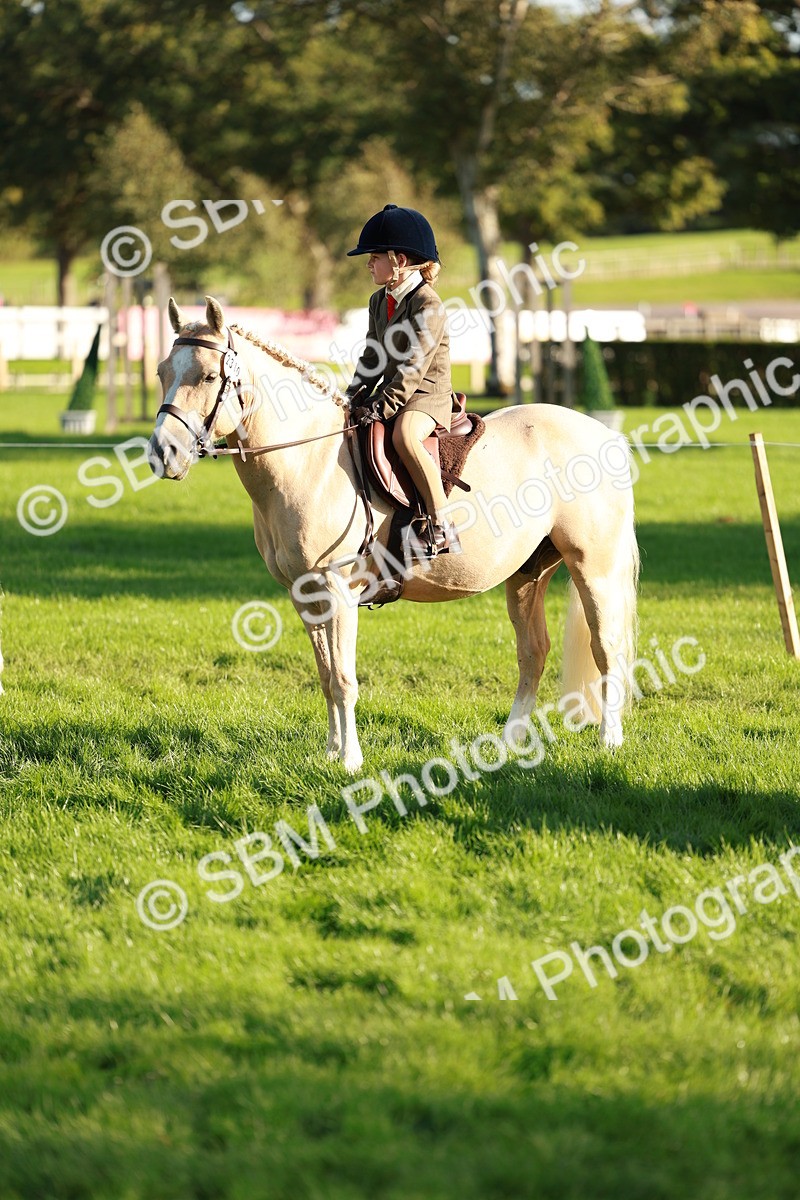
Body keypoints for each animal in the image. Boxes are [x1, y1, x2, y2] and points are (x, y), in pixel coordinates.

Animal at [147, 296, 639, 773]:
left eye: (209, 376)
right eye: (161, 373)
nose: (162, 454)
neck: (310, 460)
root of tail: (603, 434)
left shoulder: (338, 592)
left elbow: (343, 679)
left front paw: (350, 762)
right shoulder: (304, 596)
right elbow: (325, 675)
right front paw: (331, 752)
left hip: (592, 569)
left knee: (606, 649)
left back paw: (610, 741)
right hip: (527, 575)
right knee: (533, 653)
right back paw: (510, 744)